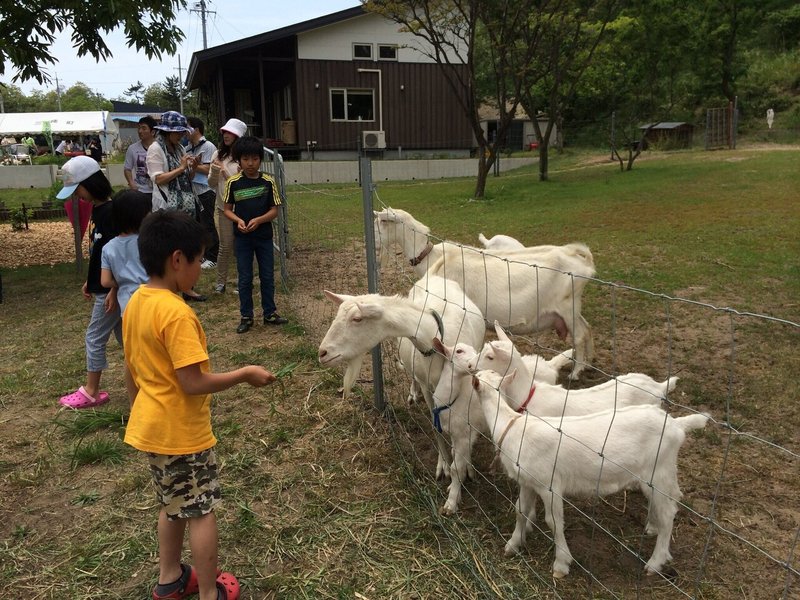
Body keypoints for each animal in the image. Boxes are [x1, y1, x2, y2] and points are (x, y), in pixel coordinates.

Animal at [318, 276, 484, 478]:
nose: (322, 353)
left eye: (357, 319)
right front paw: (443, 464)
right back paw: (412, 394)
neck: (434, 339)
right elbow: (435, 424)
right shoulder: (428, 386)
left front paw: (467, 466)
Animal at [376, 209, 592, 378]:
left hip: (567, 307)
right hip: (572, 308)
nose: (375, 243)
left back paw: (576, 372)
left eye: (383, 222)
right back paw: (586, 364)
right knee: (587, 328)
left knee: (580, 335)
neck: (434, 257)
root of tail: (583, 262)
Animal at [468, 372, 708, 580]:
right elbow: (520, 511)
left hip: (658, 472)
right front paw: (512, 544)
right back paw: (652, 527)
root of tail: (677, 425)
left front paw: (561, 564)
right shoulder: (527, 481)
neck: (512, 426)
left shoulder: (549, 485)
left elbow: (553, 522)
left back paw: (656, 562)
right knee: (669, 501)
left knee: (668, 512)